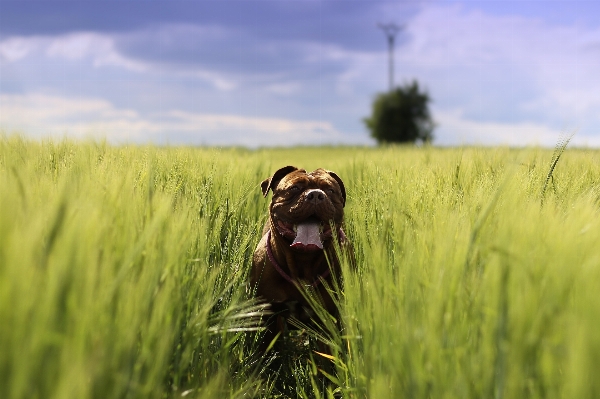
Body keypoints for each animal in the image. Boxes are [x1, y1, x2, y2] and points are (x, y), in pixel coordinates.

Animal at [250, 166, 352, 354]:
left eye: (330, 190)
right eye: (294, 188)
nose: (316, 195)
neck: (302, 263)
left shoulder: (328, 320)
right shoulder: (269, 316)